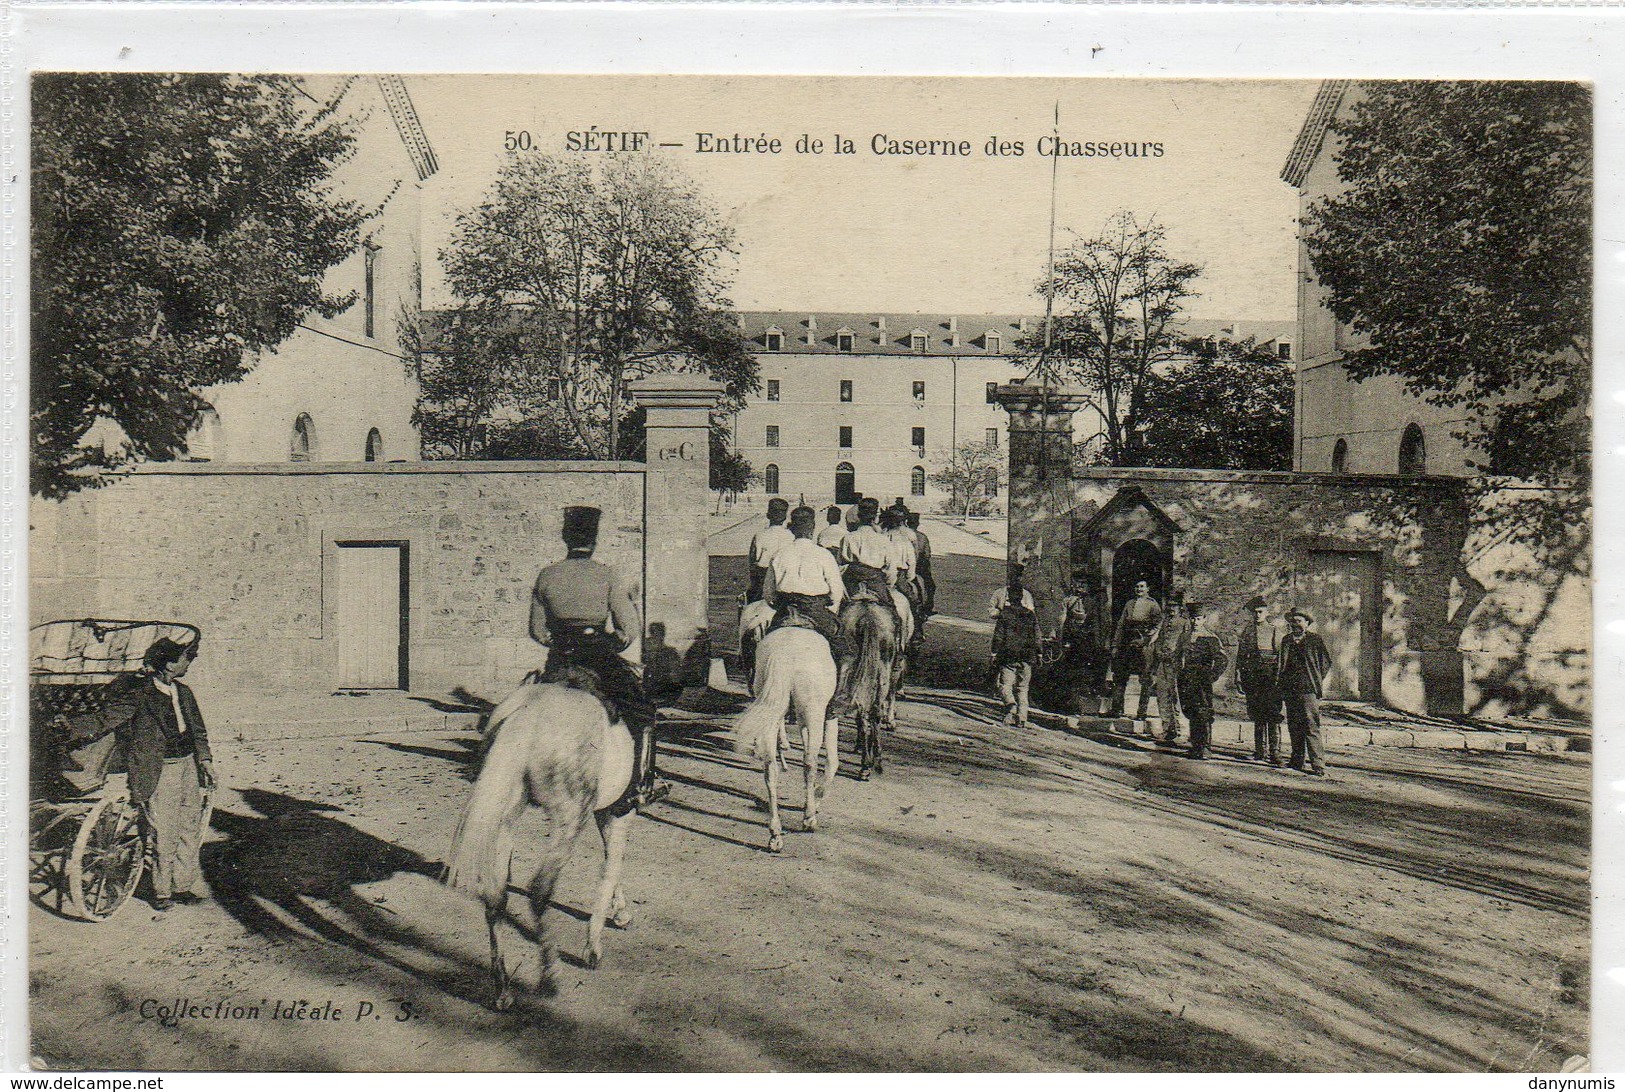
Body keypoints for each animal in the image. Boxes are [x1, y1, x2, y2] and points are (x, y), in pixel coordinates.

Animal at [445, 679, 633, 1014]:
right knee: (539, 890)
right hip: (569, 818)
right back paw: (549, 977)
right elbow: (611, 867)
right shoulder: (620, 810)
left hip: (507, 815)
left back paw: (503, 990)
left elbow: (613, 862)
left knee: (495, 897)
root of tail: (528, 713)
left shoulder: (605, 811)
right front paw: (593, 946)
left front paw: (620, 911)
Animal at [734, 630, 838, 851]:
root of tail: (784, 653)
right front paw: (816, 800)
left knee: (770, 769)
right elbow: (832, 762)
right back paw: (809, 819)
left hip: (771, 711)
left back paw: (775, 834)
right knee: (810, 763)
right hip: (814, 712)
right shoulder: (830, 714)